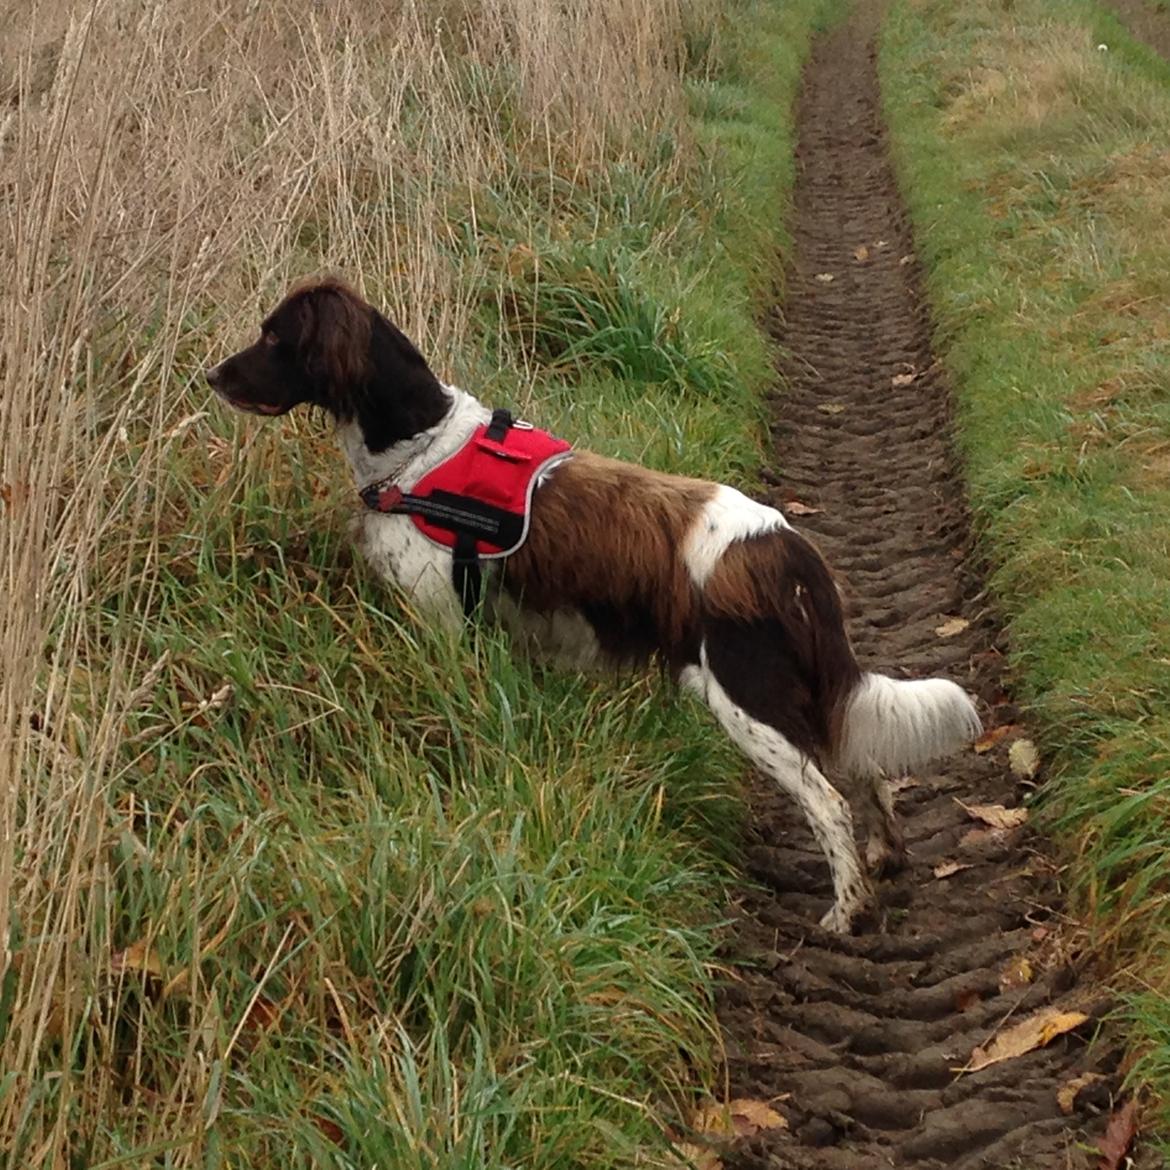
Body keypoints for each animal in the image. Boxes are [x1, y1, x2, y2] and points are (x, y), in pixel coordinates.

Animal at [205, 276, 982, 931]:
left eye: (274, 338)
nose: (211, 374)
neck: (418, 450)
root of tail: (787, 548)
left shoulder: (444, 620)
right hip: (806, 688)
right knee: (867, 768)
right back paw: (886, 859)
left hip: (748, 698)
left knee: (827, 800)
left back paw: (846, 911)